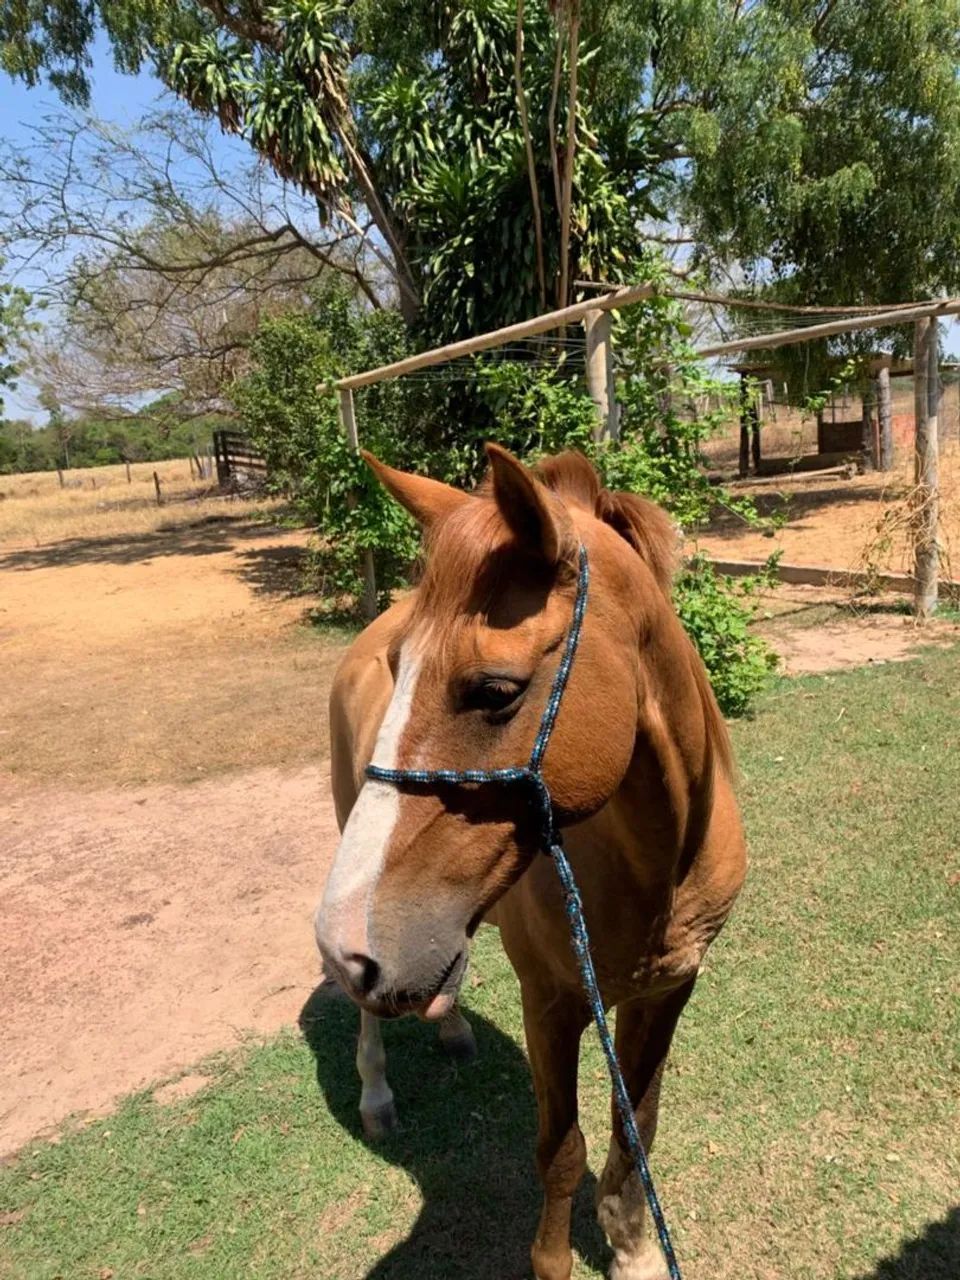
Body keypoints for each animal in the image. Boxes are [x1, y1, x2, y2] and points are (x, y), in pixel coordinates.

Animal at [314, 444, 747, 1280]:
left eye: (494, 690)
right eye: (399, 667)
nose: (346, 942)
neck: (653, 870)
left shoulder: (668, 991)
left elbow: (636, 1126)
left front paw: (632, 1247)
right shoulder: (550, 1003)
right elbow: (561, 1149)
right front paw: (556, 1260)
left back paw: (449, 1026)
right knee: (369, 1016)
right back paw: (376, 1095)